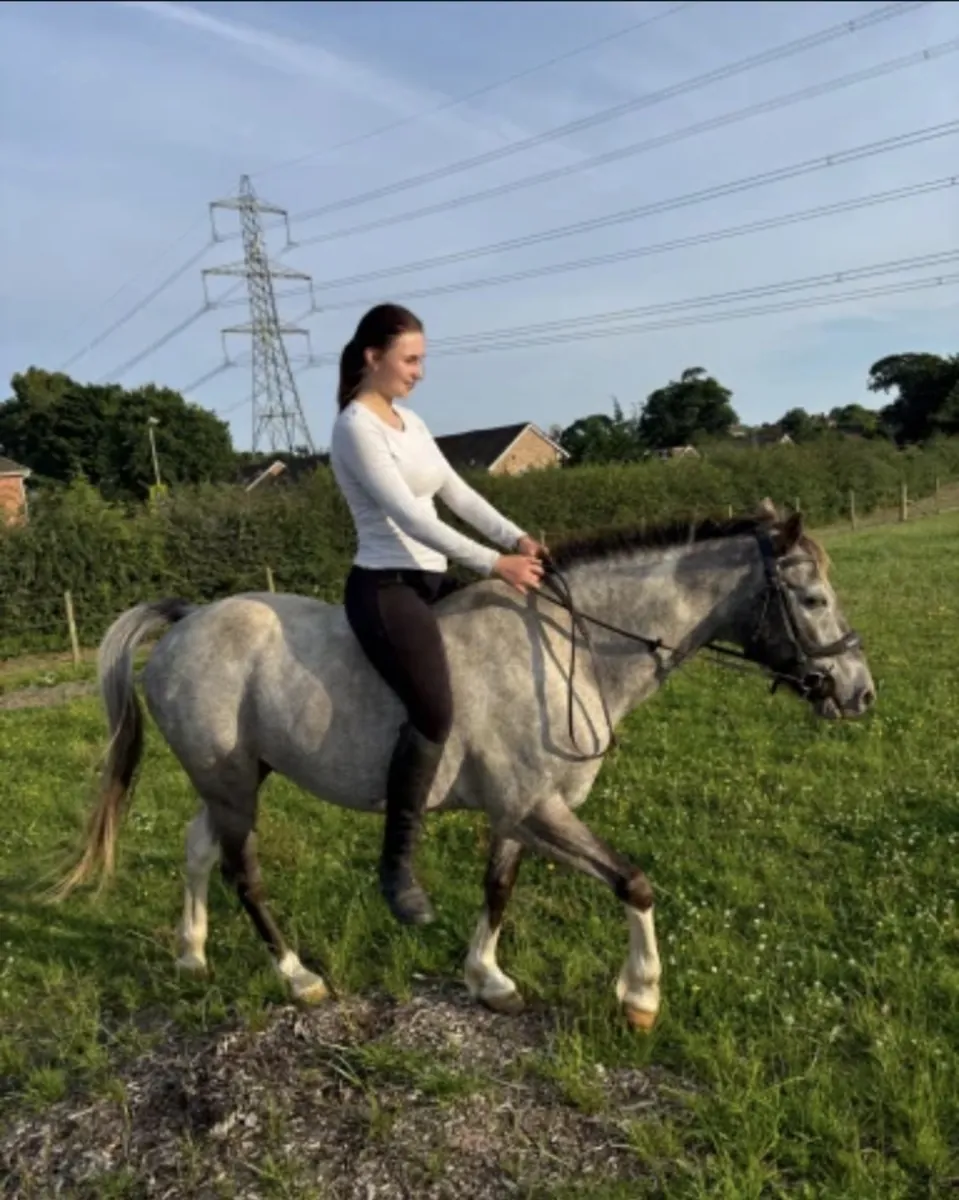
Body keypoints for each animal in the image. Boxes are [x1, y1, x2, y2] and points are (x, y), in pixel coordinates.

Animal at [54, 499, 874, 1032]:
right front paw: (641, 997)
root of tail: (188, 619)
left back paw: (191, 956)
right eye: (811, 597)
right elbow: (633, 883)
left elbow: (498, 886)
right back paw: (298, 977)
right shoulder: (537, 807)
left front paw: (488, 980)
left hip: (235, 776)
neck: (566, 648)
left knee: (198, 850)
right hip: (232, 785)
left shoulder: (521, 810)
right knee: (240, 871)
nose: (859, 693)